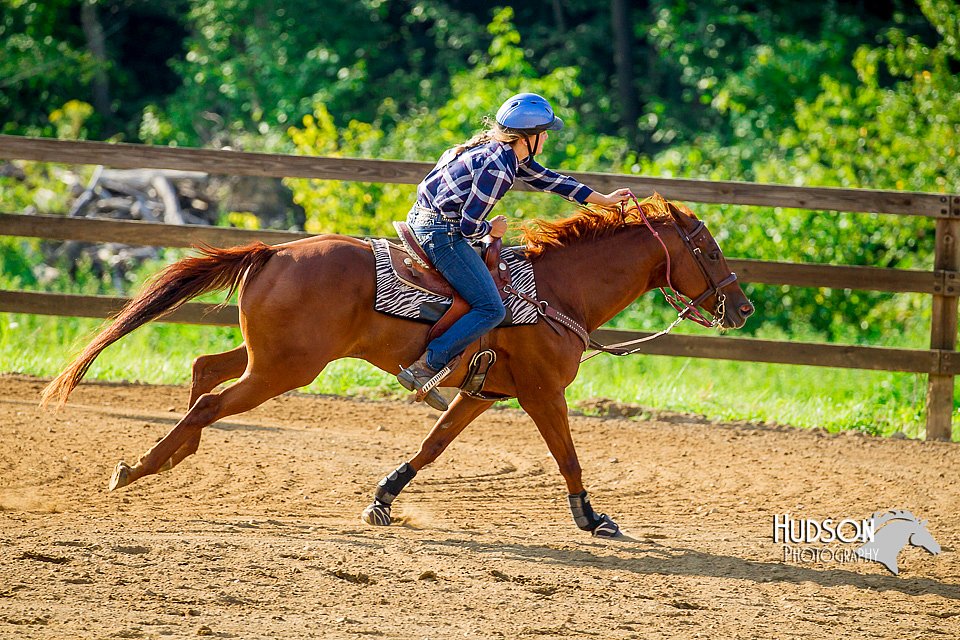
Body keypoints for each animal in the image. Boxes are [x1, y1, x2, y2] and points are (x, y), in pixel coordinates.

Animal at [41, 192, 752, 536]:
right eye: (710, 250)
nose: (742, 307)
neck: (556, 289)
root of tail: (275, 252)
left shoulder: (482, 393)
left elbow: (433, 445)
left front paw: (382, 500)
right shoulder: (542, 391)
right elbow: (568, 454)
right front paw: (592, 518)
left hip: (269, 357)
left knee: (204, 371)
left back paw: (170, 455)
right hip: (282, 370)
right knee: (212, 400)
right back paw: (136, 469)